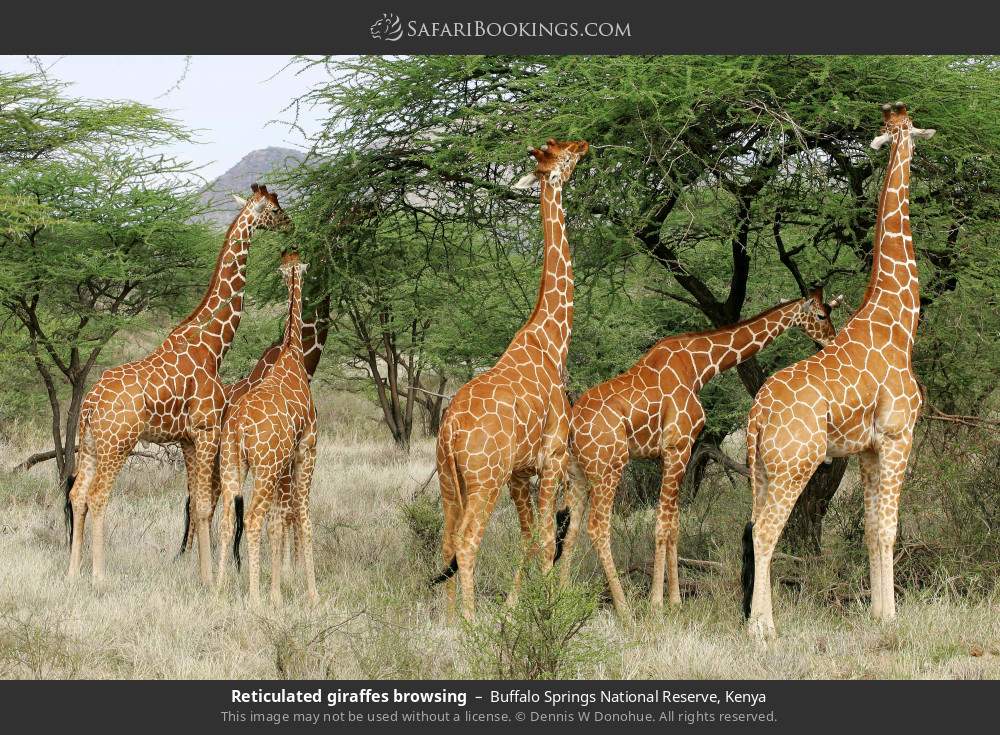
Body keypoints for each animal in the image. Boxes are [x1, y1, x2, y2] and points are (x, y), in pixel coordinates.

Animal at [65, 183, 292, 588]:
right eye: (275, 208)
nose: (291, 223)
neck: (214, 345)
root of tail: (89, 406)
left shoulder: (187, 439)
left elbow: (198, 505)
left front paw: (200, 573)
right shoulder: (206, 430)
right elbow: (203, 505)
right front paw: (208, 579)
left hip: (89, 445)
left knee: (77, 494)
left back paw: (73, 573)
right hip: (117, 445)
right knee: (98, 496)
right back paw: (99, 575)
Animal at [216, 250, 320, 608]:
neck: (293, 351)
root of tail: (238, 427)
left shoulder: (283, 464)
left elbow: (279, 521)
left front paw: (277, 592)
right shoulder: (305, 451)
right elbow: (302, 516)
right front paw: (312, 593)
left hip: (233, 463)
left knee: (227, 518)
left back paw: (218, 589)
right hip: (264, 467)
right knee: (252, 518)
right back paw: (254, 597)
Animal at [434, 138, 588, 620]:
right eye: (565, 156)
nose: (586, 144)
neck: (552, 340)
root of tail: (449, 431)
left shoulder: (521, 472)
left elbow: (528, 537)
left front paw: (516, 605)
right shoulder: (551, 457)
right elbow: (545, 538)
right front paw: (546, 609)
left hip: (450, 481)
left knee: (447, 540)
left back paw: (449, 616)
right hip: (485, 479)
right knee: (467, 541)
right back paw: (468, 620)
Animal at [560, 288, 840, 616]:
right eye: (821, 315)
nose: (831, 340)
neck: (698, 367)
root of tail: (572, 427)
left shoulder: (675, 453)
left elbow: (675, 523)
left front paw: (676, 600)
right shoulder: (677, 447)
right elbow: (663, 525)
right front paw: (657, 603)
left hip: (578, 473)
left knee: (572, 529)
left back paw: (560, 594)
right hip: (608, 468)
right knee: (597, 528)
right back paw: (624, 608)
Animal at [744, 102, 936, 640]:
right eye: (909, 131)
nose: (911, 143)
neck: (898, 321)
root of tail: (756, 415)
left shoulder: (868, 449)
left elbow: (870, 529)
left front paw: (876, 612)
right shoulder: (897, 436)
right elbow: (889, 528)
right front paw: (892, 617)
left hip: (761, 467)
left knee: (754, 527)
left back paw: (757, 621)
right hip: (795, 463)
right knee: (767, 532)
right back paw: (763, 630)